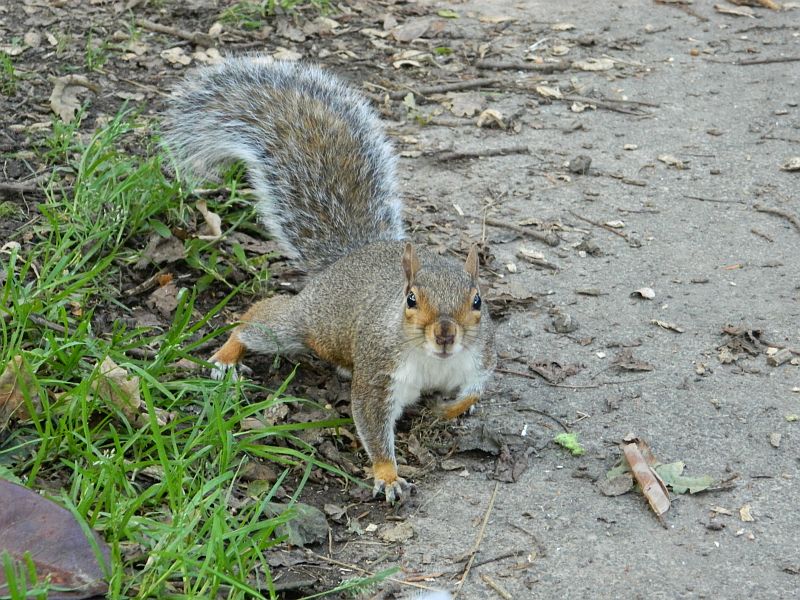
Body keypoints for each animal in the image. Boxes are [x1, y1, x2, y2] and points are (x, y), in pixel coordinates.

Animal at [164, 56, 494, 504]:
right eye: (410, 299)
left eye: (477, 301)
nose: (445, 335)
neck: (434, 361)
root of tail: (348, 259)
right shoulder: (379, 371)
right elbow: (371, 421)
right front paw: (388, 475)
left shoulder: (479, 358)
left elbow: (475, 389)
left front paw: (450, 408)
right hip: (305, 324)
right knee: (259, 320)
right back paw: (226, 355)